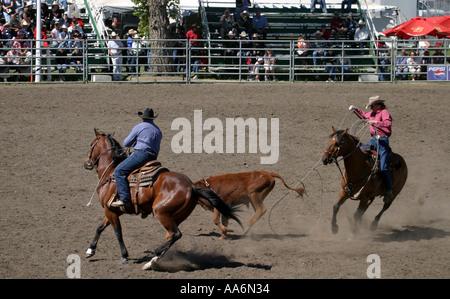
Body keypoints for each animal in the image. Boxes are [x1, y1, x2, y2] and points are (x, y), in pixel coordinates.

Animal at [82, 129, 241, 270]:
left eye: (91, 144)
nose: (86, 162)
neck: (110, 174)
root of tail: (191, 187)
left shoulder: (110, 210)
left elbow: (117, 232)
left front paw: (124, 256)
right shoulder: (112, 210)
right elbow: (100, 227)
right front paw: (90, 251)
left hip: (161, 212)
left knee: (176, 234)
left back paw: (155, 255)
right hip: (175, 216)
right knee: (171, 235)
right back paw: (152, 261)